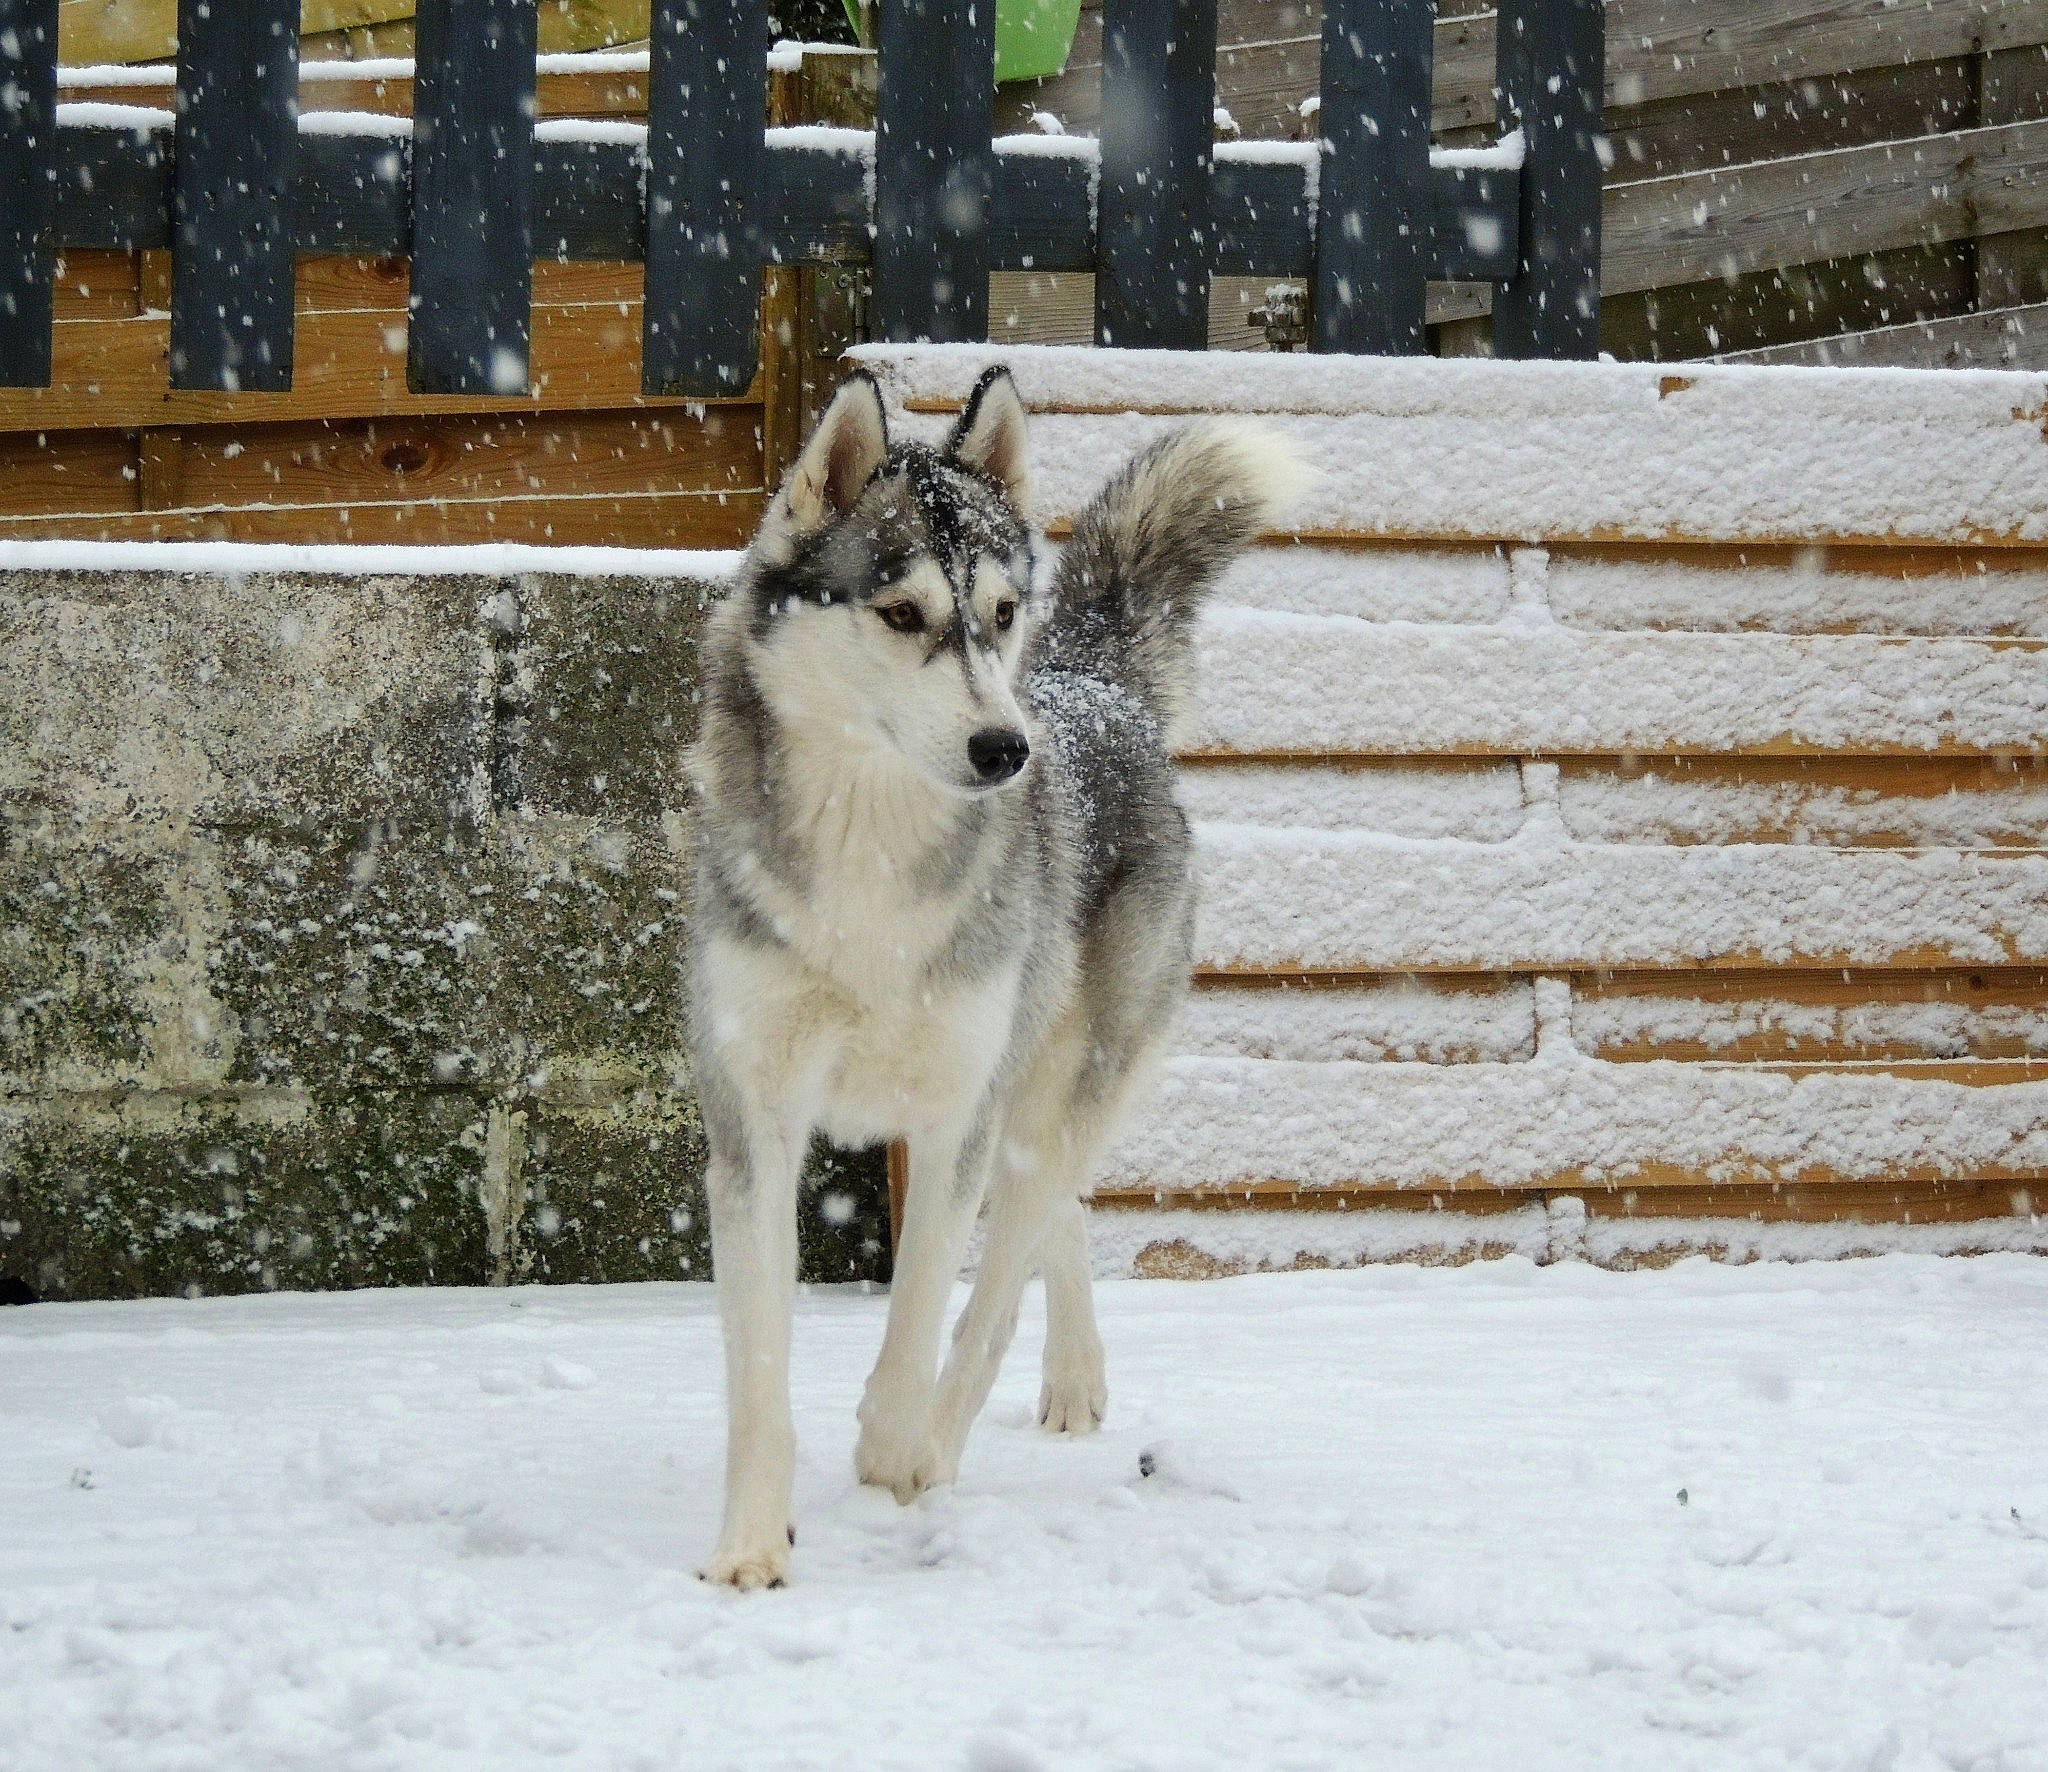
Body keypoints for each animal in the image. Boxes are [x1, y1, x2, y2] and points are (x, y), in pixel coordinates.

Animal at [686, 364, 1298, 1587]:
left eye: (1002, 612)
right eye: (902, 613)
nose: (1006, 751)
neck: (869, 853)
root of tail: (1094, 685)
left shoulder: (952, 1122)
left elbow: (924, 1328)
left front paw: (893, 1459)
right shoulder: (753, 1121)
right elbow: (761, 1373)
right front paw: (751, 1548)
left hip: (1071, 1085)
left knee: (1011, 1269)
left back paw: (976, 1426)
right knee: (1051, 1220)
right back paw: (1068, 1383)